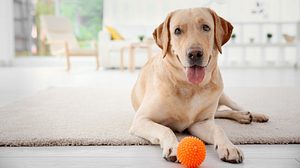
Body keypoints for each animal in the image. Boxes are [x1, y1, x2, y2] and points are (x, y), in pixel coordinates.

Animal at [130, 7, 268, 163]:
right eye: (177, 31)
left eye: (206, 27)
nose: (195, 54)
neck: (190, 87)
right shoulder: (141, 120)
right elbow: (166, 129)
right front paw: (174, 147)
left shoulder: (200, 123)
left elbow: (219, 129)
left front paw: (229, 148)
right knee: (219, 114)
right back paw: (243, 116)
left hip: (222, 95)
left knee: (234, 107)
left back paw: (252, 115)